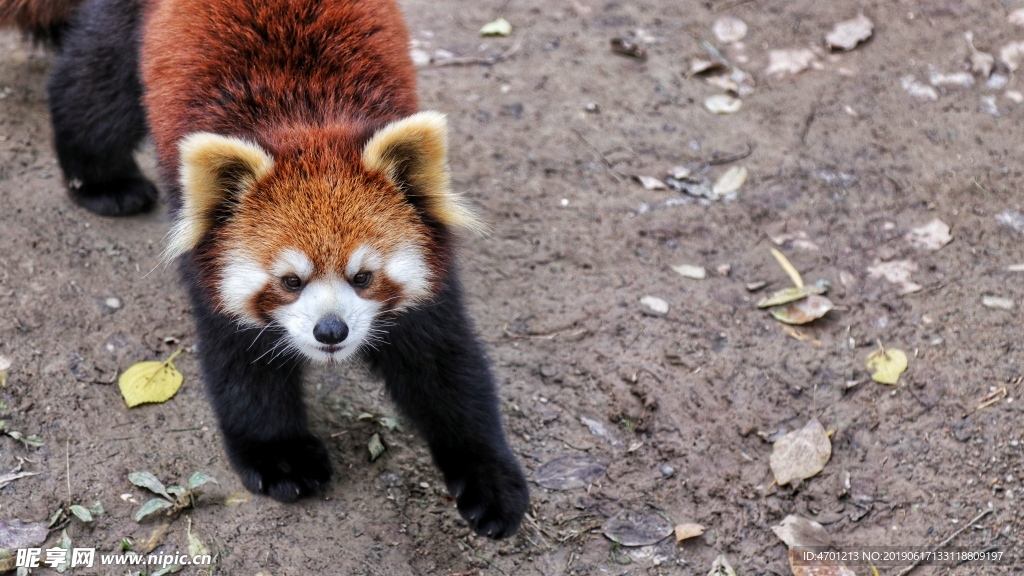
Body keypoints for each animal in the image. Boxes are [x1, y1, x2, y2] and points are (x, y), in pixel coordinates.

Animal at [36, 0, 528, 537]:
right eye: (290, 282)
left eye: (362, 277)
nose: (330, 331)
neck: (306, 124)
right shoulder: (211, 266)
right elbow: (243, 366)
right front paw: (281, 457)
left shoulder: (430, 276)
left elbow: (445, 369)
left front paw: (490, 479)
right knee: (95, 88)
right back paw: (102, 182)